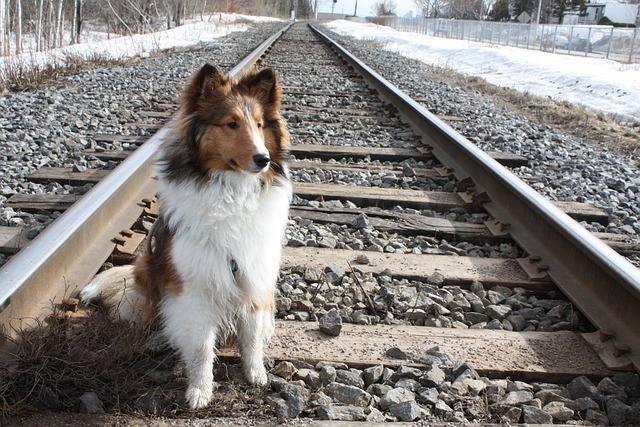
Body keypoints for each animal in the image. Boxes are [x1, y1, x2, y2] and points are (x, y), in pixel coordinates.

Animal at [80, 64, 292, 412]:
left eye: (261, 125)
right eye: (231, 123)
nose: (262, 159)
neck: (230, 191)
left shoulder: (254, 274)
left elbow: (251, 336)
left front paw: (256, 374)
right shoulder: (192, 289)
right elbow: (201, 347)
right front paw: (199, 391)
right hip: (147, 275)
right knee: (160, 317)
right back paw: (158, 338)